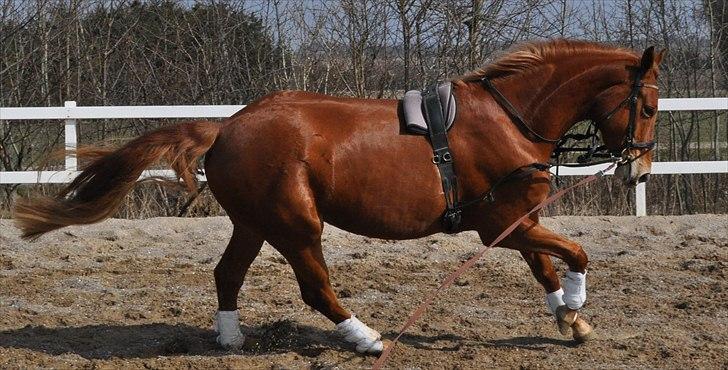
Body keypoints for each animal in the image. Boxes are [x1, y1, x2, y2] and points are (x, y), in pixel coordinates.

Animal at [12, 39, 660, 354]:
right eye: (650, 105)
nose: (640, 171)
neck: (510, 119)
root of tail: (227, 127)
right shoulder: (499, 222)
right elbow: (574, 254)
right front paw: (576, 305)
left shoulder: (516, 218)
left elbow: (545, 265)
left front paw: (569, 318)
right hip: (296, 223)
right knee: (315, 287)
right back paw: (365, 338)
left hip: (255, 222)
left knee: (227, 274)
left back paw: (231, 337)